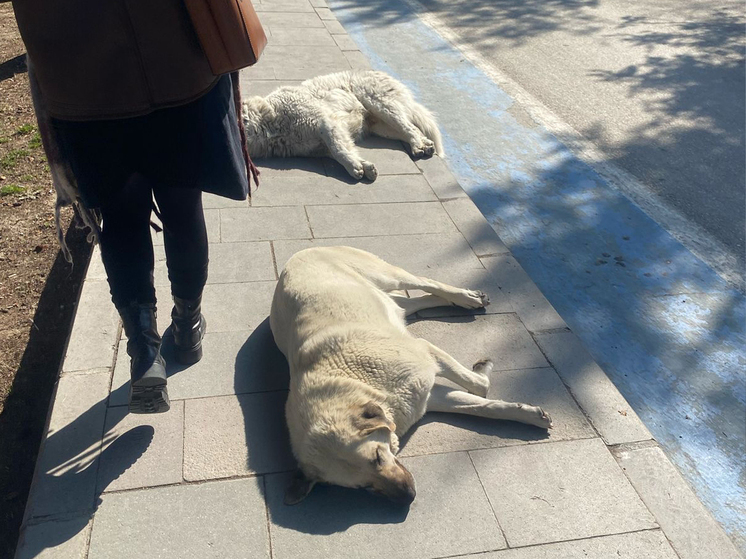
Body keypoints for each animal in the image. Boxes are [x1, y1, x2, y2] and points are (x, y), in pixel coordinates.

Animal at [241, 69, 444, 179]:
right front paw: (363, 166)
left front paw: (355, 168)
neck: (271, 122)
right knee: (413, 129)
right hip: (383, 127)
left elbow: (339, 150)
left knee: (409, 127)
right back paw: (424, 144)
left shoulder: (325, 123)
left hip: (380, 105)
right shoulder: (322, 146)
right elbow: (344, 151)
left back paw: (418, 146)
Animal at [268, 248, 552, 508]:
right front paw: (529, 415)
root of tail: (297, 254)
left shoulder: (425, 354)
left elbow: (480, 386)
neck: (359, 384)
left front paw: (486, 372)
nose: (408, 497)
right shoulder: (426, 397)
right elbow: (482, 406)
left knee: (424, 282)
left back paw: (467, 297)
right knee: (408, 303)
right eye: (364, 487)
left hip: (385, 274)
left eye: (377, 457)